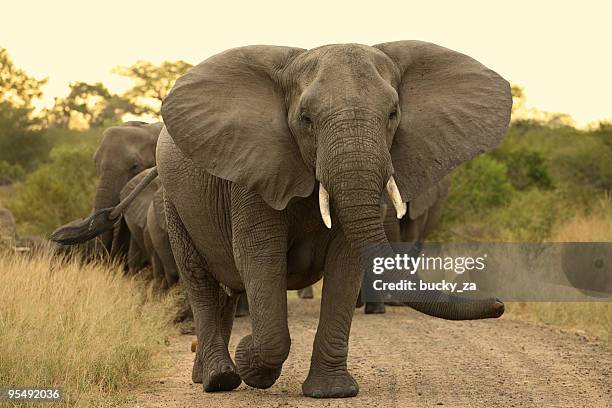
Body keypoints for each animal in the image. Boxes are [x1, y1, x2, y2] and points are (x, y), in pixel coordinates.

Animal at [51, 41, 512, 398]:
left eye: (393, 116)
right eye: (305, 120)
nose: (500, 304)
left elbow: (345, 261)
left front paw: (332, 393)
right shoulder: (253, 172)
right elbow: (260, 258)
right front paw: (251, 360)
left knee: (227, 287)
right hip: (174, 205)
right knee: (201, 280)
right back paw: (218, 380)